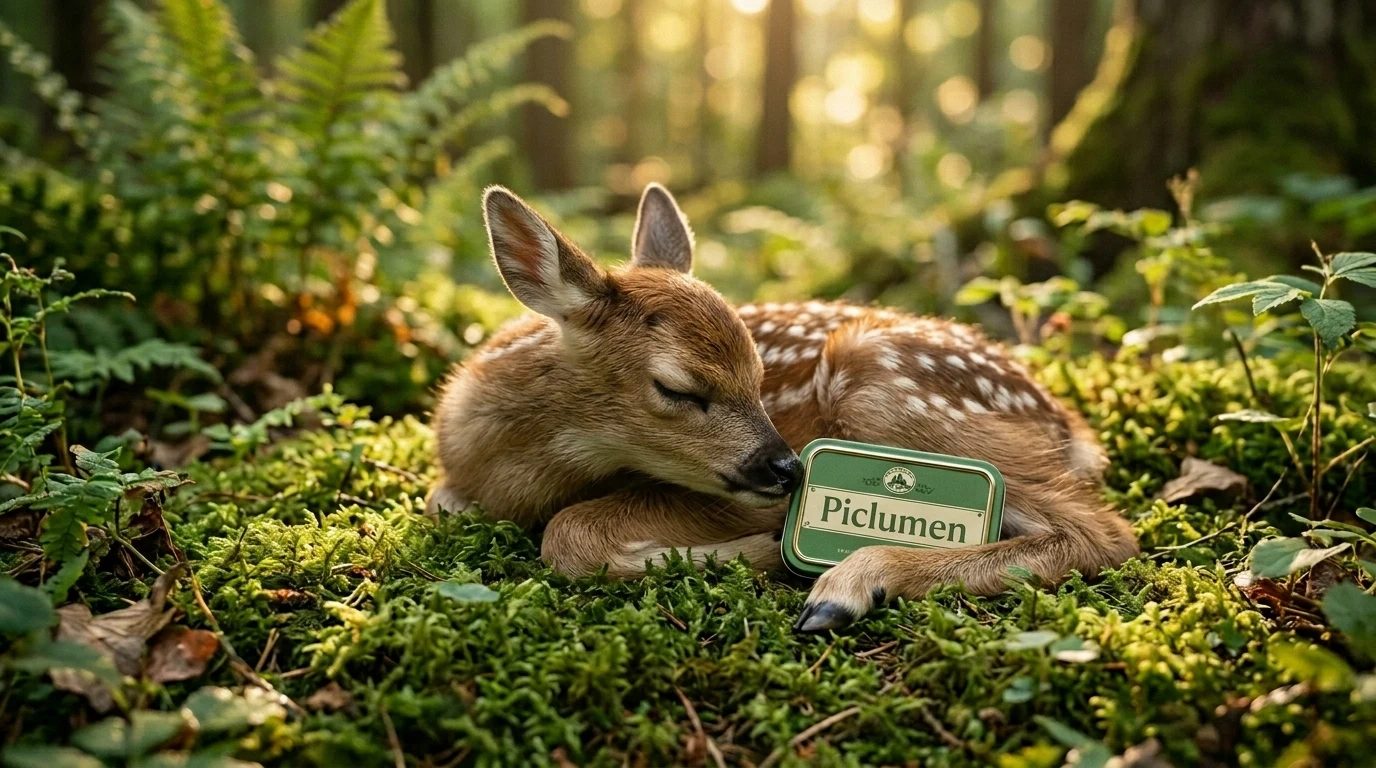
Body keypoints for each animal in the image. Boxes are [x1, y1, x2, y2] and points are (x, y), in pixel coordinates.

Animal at [428, 183, 1139, 632]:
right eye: (679, 389)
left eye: (760, 373)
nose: (789, 468)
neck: (509, 471)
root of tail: (1068, 425)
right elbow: (448, 506)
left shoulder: (727, 496)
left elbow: (568, 534)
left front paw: (759, 551)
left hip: (881, 383)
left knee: (1103, 534)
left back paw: (845, 589)